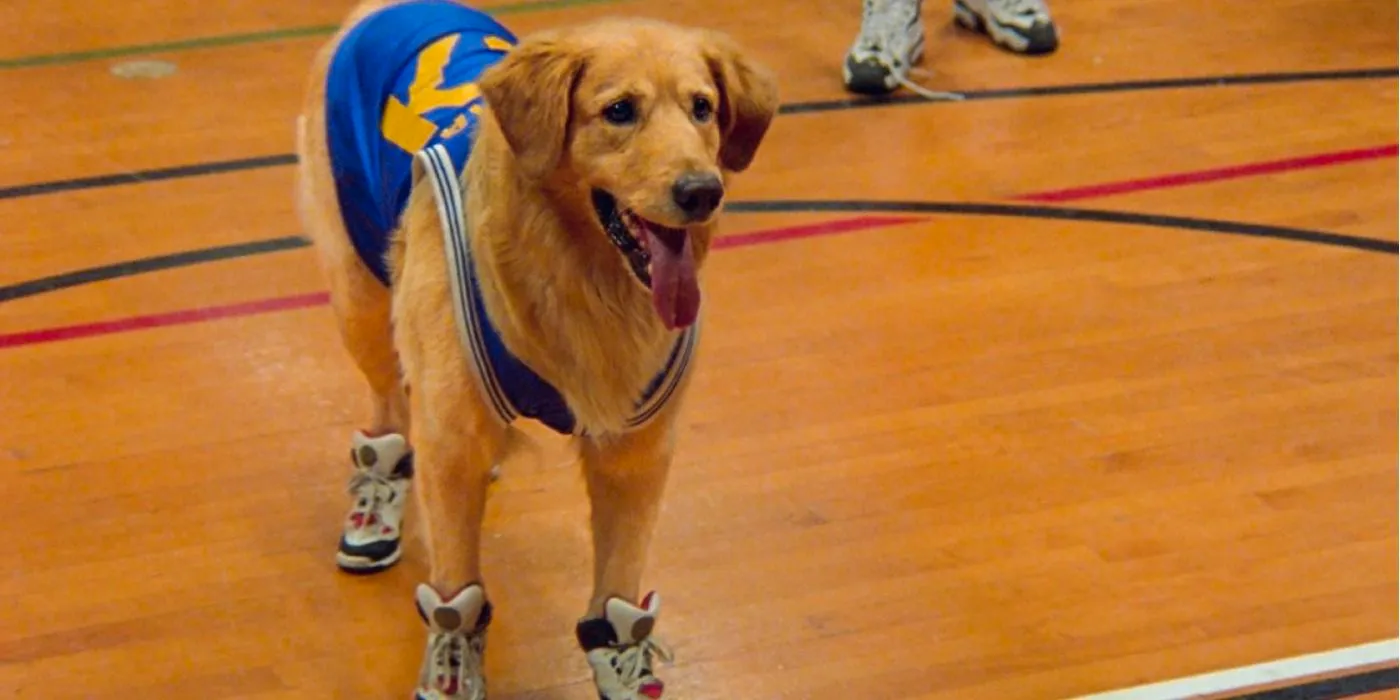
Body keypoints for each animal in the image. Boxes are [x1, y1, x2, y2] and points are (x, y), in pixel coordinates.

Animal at [291, 0, 784, 694]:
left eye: (702, 108)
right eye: (619, 110)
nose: (701, 191)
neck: (578, 276)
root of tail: (385, 8)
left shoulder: (635, 449)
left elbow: (619, 595)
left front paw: (624, 664)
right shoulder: (453, 442)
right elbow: (457, 592)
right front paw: (452, 670)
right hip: (359, 302)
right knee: (389, 411)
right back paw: (375, 508)